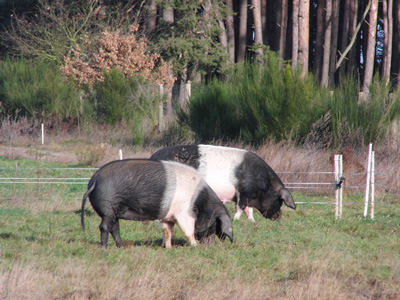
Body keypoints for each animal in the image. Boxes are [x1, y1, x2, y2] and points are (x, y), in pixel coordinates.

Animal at [79, 159, 233, 248]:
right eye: (214, 224)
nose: (211, 246)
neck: (200, 201)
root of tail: (93, 181)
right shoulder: (183, 212)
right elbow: (188, 229)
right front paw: (195, 246)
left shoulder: (168, 217)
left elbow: (167, 231)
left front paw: (169, 248)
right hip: (108, 208)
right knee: (104, 227)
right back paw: (104, 249)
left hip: (114, 211)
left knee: (114, 228)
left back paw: (121, 247)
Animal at [152, 144, 296, 221]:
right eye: (279, 200)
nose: (279, 217)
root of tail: (153, 157)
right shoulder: (243, 191)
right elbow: (240, 207)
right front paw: (235, 219)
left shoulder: (248, 195)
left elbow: (249, 210)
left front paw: (252, 221)